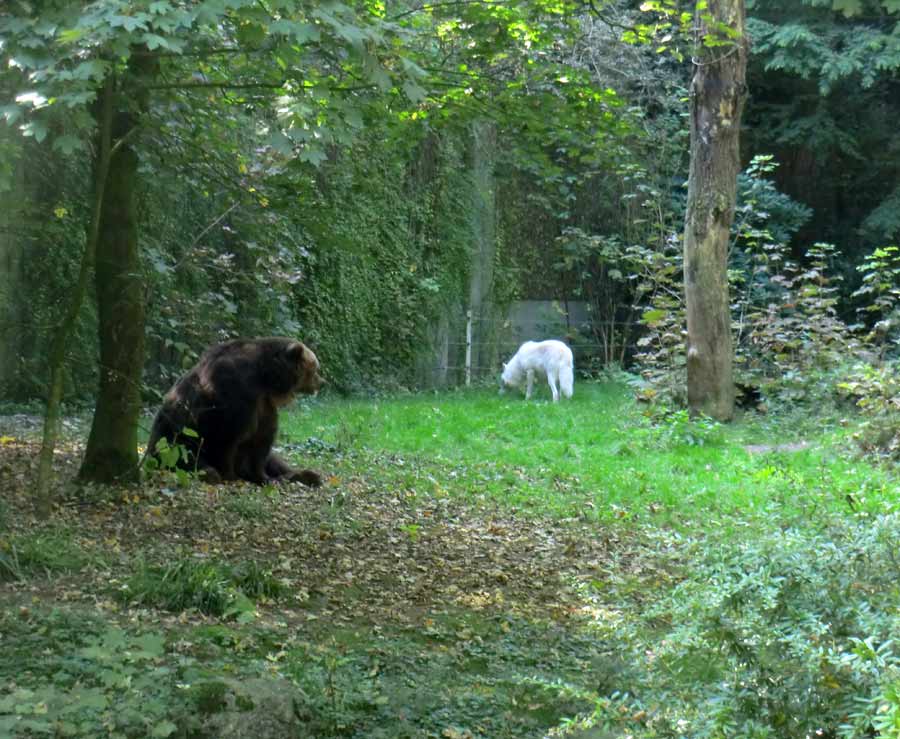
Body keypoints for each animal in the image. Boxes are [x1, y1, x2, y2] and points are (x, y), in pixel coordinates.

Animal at [148, 338, 326, 488]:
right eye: (315, 368)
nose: (322, 382)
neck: (265, 377)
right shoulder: (236, 390)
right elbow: (228, 436)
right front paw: (231, 475)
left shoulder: (263, 404)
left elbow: (261, 440)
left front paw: (264, 477)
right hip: (175, 438)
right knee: (186, 457)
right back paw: (211, 473)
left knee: (275, 460)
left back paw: (307, 475)